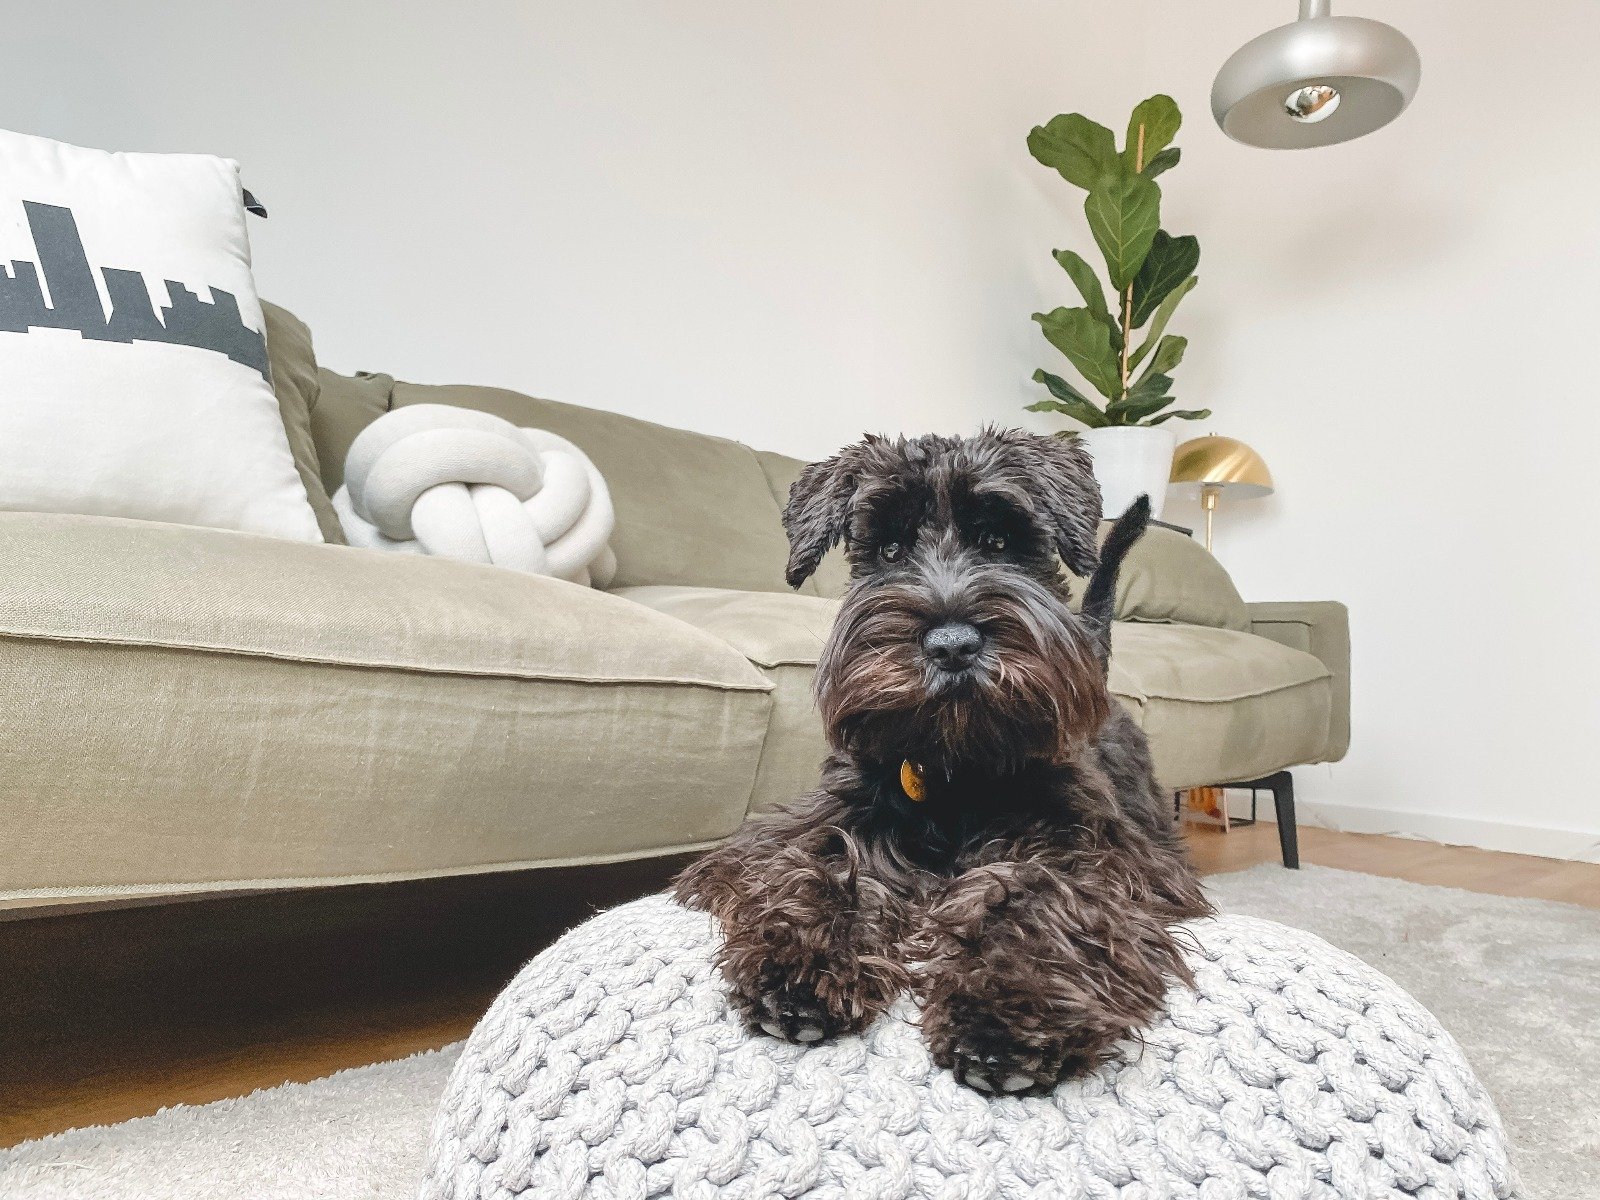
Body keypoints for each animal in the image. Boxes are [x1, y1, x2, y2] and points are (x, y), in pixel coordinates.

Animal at [675, 432, 1209, 1100]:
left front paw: (1006, 1011)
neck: (960, 766)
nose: (952, 645)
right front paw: (799, 964)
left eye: (1000, 542)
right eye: (889, 549)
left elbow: (1038, 896)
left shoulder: (1098, 854)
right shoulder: (817, 826)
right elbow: (826, 864)